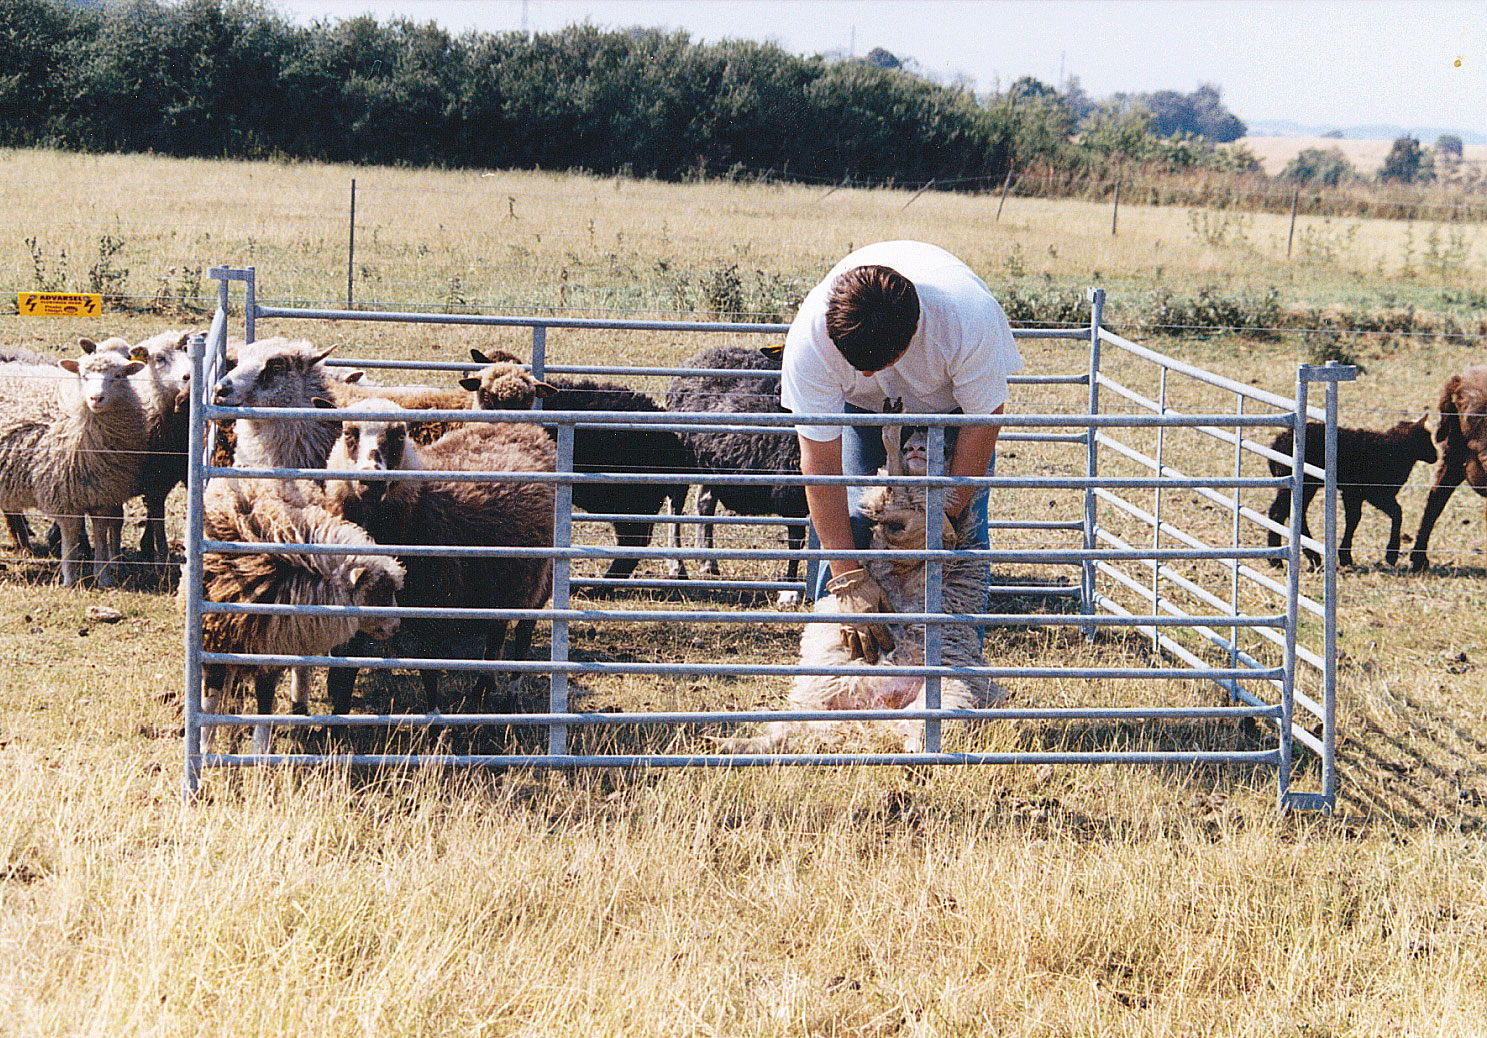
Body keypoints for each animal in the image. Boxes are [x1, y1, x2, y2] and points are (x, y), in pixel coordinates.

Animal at [0, 339, 148, 582]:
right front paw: (70, 578)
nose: (96, 398)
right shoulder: (62, 492)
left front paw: (103, 576)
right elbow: (70, 534)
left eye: (118, 375)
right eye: (83, 375)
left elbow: (101, 530)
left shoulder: (103, 493)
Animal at [321, 401, 559, 716]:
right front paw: (336, 718)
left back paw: (512, 697)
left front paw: (434, 718)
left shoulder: (434, 604)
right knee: (496, 631)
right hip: (502, 580)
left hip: (541, 581)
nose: (371, 481)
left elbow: (430, 670)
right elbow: (344, 670)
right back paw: (482, 689)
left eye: (399, 435)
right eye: (349, 433)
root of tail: (527, 428)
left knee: (521, 638)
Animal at [722, 413, 993, 752]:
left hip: (951, 692)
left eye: (943, 447)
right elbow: (890, 492)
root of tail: (872, 716)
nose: (915, 445)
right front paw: (892, 445)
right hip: (819, 700)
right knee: (788, 731)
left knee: (918, 732)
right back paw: (731, 744)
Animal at [1260, 413, 1433, 565]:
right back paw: (1278, 560)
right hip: (1300, 484)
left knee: (1293, 513)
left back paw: (1307, 557)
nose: (1435, 455)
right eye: (1427, 437)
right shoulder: (1374, 493)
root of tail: (1276, 445)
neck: (1395, 450)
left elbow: (1353, 519)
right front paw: (1391, 555)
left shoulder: (1353, 493)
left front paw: (1345, 555)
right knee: (1278, 513)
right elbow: (1396, 513)